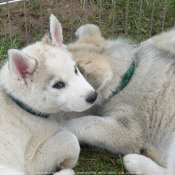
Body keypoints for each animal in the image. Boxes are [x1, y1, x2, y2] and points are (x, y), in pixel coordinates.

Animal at [0, 15, 96, 175]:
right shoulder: (31, 162)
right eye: (58, 85)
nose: (93, 96)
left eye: (75, 70)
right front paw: (65, 164)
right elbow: (70, 139)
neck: (21, 106)